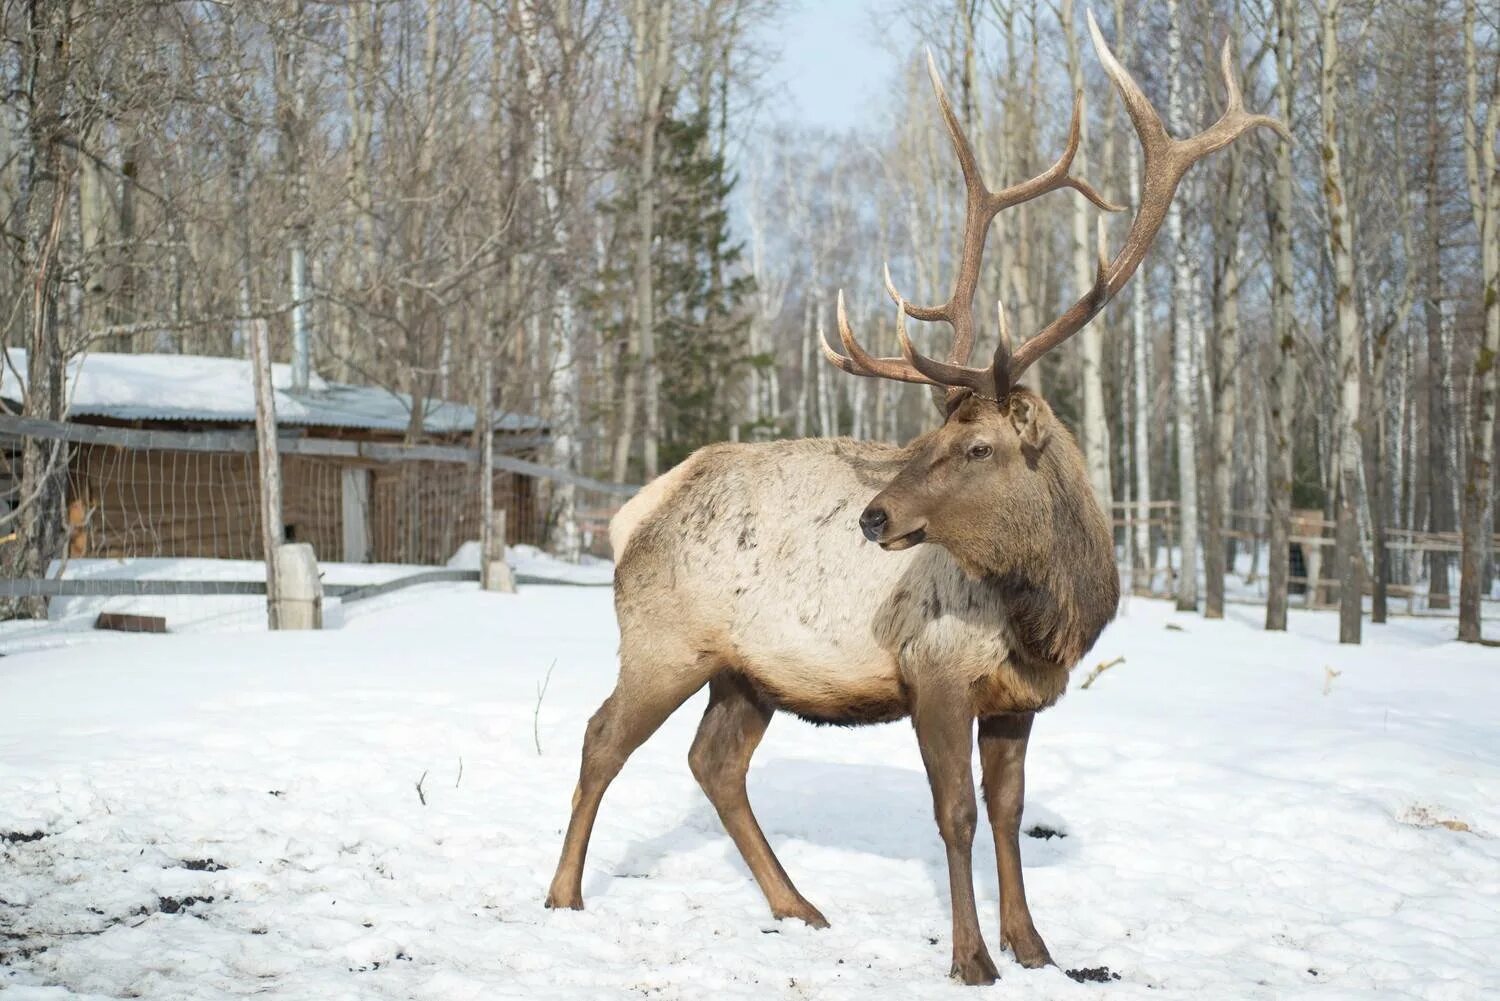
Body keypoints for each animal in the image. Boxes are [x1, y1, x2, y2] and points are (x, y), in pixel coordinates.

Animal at [546, 13, 1284, 984]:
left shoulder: (1019, 697)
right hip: (665, 641)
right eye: (924, 441)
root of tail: (635, 510)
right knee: (600, 737)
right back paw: (563, 894)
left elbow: (1009, 813)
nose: (874, 516)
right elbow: (956, 814)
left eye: (973, 445)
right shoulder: (936, 669)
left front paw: (1035, 946)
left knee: (715, 762)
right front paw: (973, 958)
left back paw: (798, 904)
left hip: (750, 670)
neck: (1048, 612)